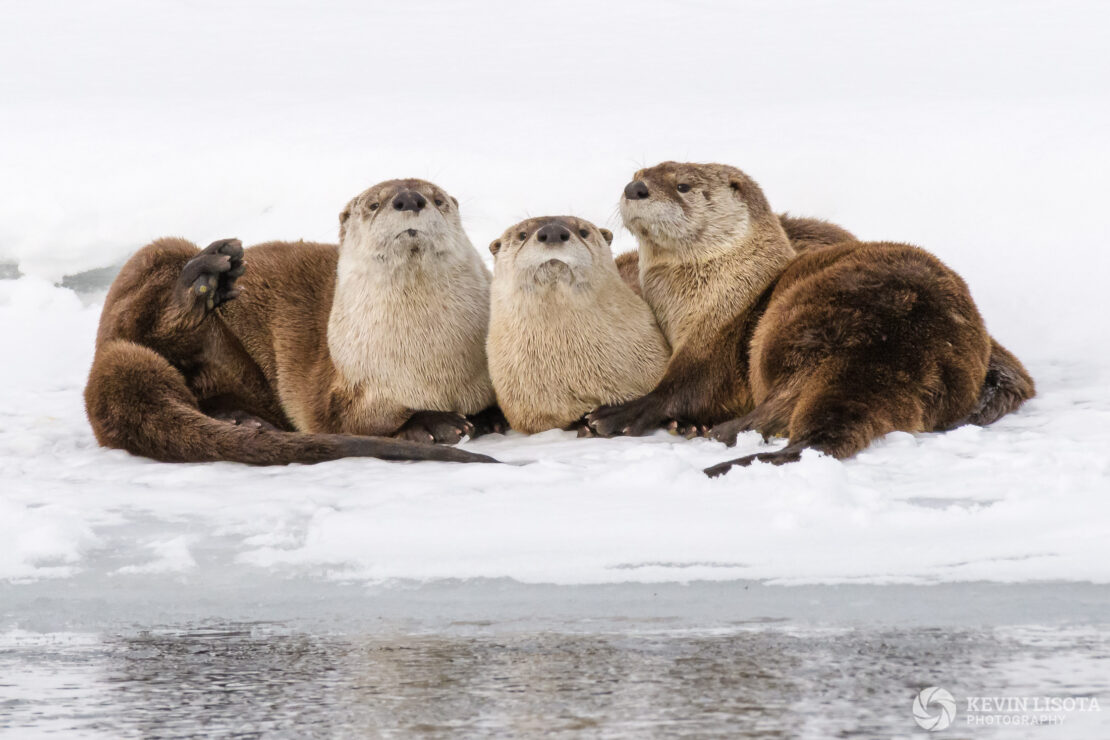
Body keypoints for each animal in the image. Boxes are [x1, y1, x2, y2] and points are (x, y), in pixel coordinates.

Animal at [84, 178, 501, 465]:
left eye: (438, 199)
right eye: (374, 203)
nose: (410, 198)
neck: (426, 363)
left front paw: (489, 417)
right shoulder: (340, 386)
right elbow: (347, 420)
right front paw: (432, 423)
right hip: (152, 261)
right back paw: (203, 281)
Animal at [590, 160, 1030, 474]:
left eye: (682, 185)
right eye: (637, 174)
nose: (635, 188)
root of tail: (886, 347)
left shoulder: (717, 337)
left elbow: (683, 386)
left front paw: (615, 415)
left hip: (785, 328)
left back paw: (713, 432)